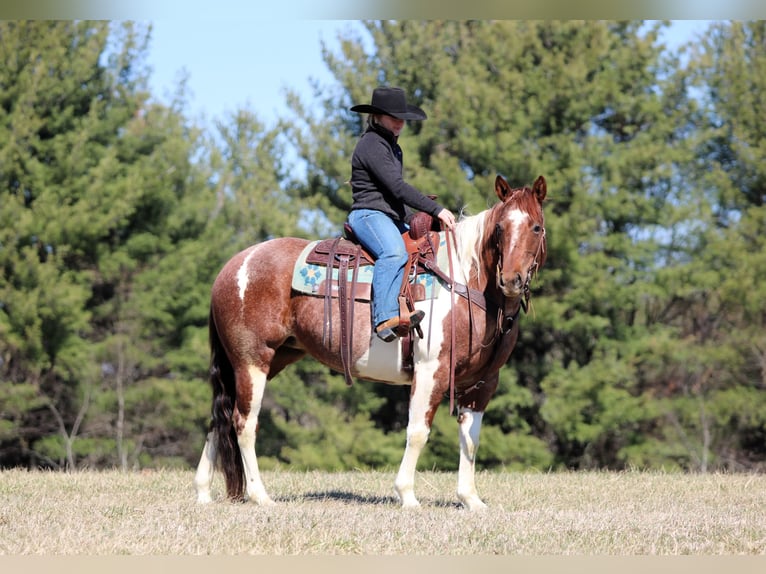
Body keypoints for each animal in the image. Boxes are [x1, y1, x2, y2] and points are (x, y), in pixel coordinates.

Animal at [194, 174, 547, 510]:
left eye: (536, 226)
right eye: (500, 228)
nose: (511, 280)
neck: (463, 279)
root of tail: (233, 267)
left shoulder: (483, 383)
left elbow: (470, 439)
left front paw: (470, 499)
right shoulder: (430, 370)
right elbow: (418, 431)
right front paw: (407, 495)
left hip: (267, 360)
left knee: (220, 417)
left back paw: (203, 492)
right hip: (252, 360)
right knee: (244, 422)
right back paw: (260, 495)